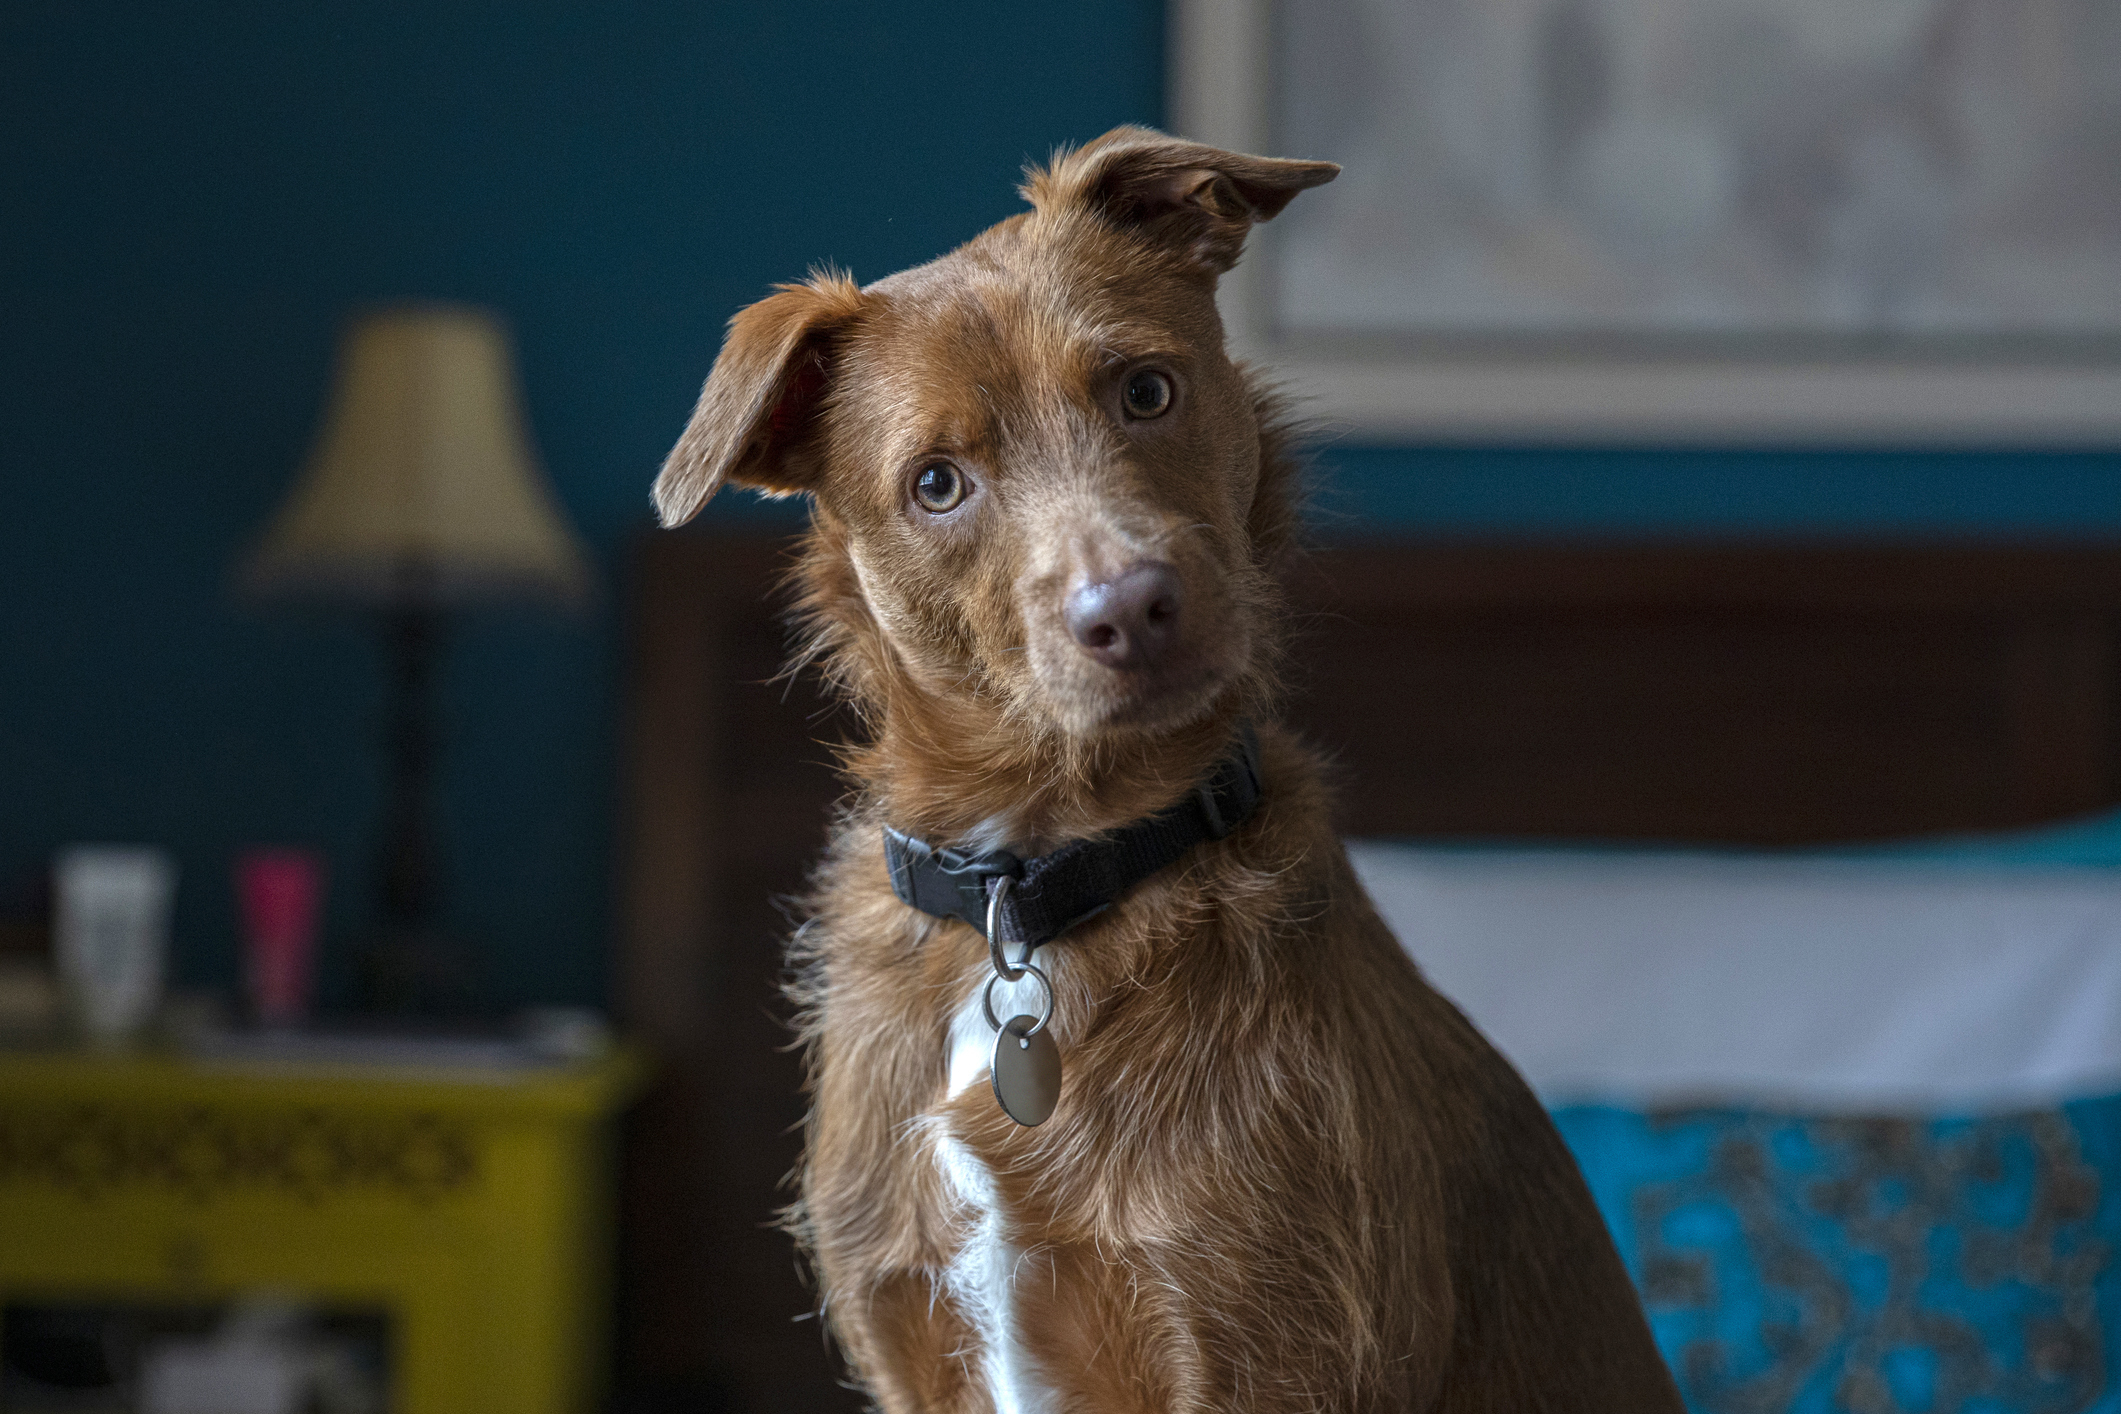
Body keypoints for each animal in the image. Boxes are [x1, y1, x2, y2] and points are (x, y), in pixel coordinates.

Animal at [653, 129, 1679, 1414]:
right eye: (935, 484)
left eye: (1144, 390)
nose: (1131, 608)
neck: (1035, 888)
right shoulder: (907, 1342)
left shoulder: (1269, 1355)